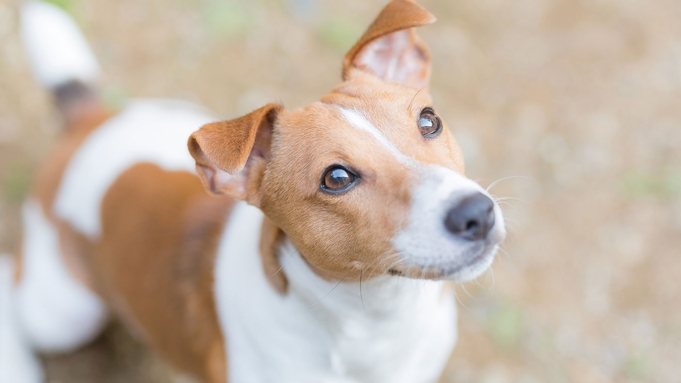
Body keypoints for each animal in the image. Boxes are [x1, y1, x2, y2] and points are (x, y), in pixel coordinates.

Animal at [1, 0, 504, 383]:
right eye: (336, 178)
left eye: (429, 121)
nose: (476, 213)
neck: (376, 322)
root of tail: (89, 119)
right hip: (65, 311)